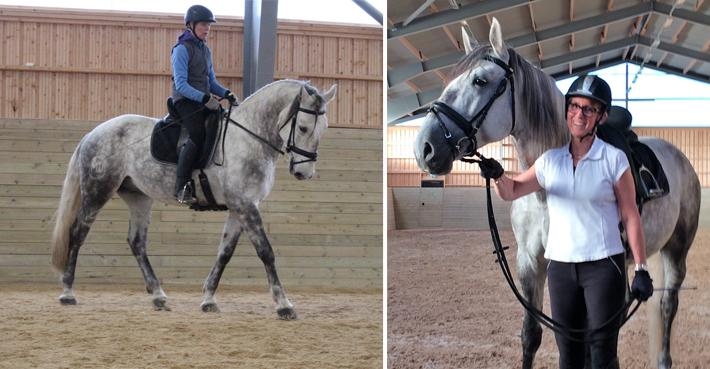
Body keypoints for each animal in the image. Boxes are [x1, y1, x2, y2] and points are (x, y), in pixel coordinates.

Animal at [51, 80, 338, 320]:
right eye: (302, 127)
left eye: (324, 129)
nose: (304, 173)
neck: (250, 137)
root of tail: (94, 133)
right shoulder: (245, 206)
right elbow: (265, 252)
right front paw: (283, 305)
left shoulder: (239, 207)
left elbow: (225, 253)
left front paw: (209, 299)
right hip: (97, 191)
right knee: (77, 233)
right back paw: (67, 292)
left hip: (138, 197)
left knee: (136, 243)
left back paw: (158, 296)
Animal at [414, 19, 704, 368]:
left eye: (480, 80)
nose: (424, 147)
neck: (544, 191)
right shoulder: (530, 263)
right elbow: (532, 335)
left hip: (676, 250)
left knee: (667, 306)